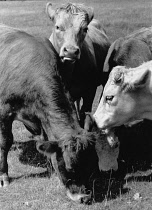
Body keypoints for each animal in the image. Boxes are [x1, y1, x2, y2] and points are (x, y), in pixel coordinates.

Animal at [0, 24, 119, 203]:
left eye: (92, 165)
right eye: (69, 167)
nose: (85, 197)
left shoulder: (41, 117)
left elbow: (45, 140)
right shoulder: (4, 112)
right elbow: (5, 142)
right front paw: (4, 176)